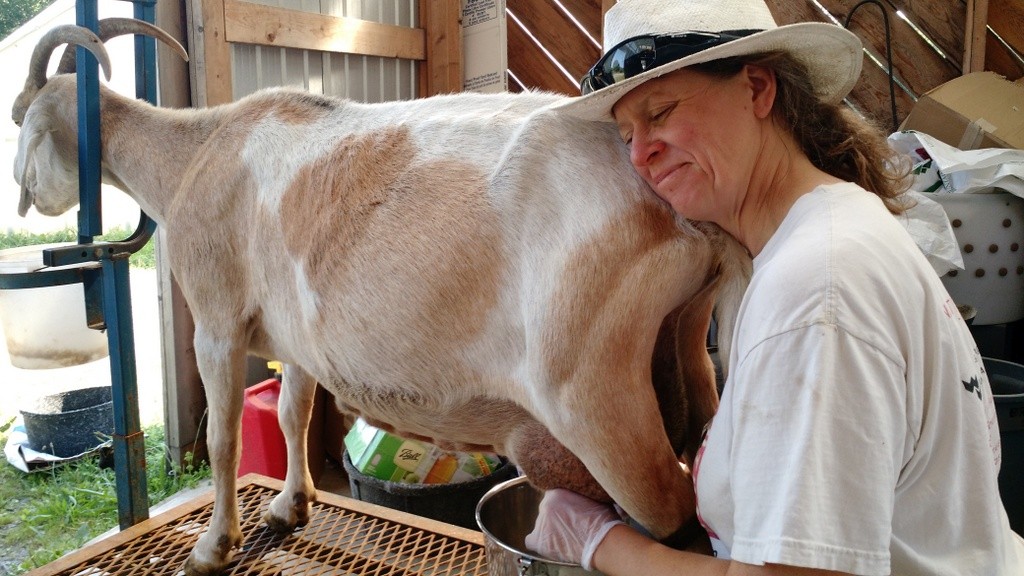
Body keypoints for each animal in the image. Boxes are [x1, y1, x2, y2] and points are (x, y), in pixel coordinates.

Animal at [9, 20, 753, 569]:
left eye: (21, 120)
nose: (31, 199)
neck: (197, 153)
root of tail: (683, 212)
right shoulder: (296, 341)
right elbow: (293, 417)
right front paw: (291, 507)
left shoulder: (216, 320)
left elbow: (223, 439)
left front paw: (212, 547)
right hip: (687, 353)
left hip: (595, 397)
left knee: (672, 518)